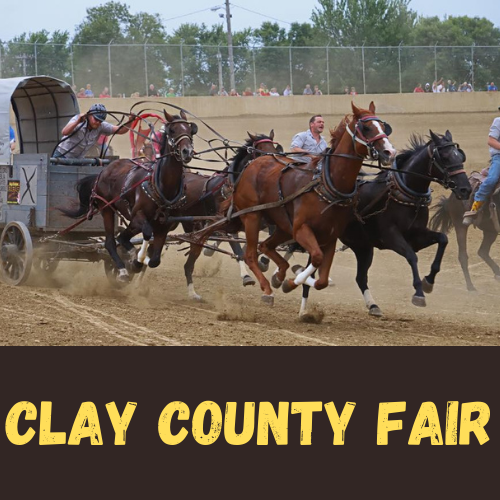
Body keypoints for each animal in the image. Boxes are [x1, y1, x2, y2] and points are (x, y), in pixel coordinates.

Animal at [60, 110, 197, 282]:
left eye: (190, 130)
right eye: (172, 130)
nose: (187, 151)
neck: (161, 186)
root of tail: (104, 170)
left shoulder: (164, 226)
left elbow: (155, 260)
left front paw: (138, 260)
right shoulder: (138, 215)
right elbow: (145, 234)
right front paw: (136, 261)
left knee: (122, 238)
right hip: (107, 209)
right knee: (111, 242)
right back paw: (123, 269)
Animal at [217, 101, 396, 304]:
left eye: (382, 126)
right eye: (366, 128)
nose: (390, 152)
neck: (327, 183)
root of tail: (251, 165)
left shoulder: (330, 236)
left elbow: (322, 280)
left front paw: (289, 281)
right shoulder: (302, 229)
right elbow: (316, 258)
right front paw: (292, 282)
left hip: (282, 224)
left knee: (265, 246)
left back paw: (278, 276)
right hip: (252, 216)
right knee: (250, 254)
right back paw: (267, 289)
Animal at [294, 129, 470, 316]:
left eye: (460, 156)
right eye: (444, 157)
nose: (465, 189)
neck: (405, 194)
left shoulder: (416, 235)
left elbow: (443, 239)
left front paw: (429, 281)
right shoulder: (390, 236)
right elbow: (411, 256)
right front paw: (419, 293)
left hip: (362, 246)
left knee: (360, 277)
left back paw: (373, 305)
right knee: (311, 272)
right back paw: (303, 310)